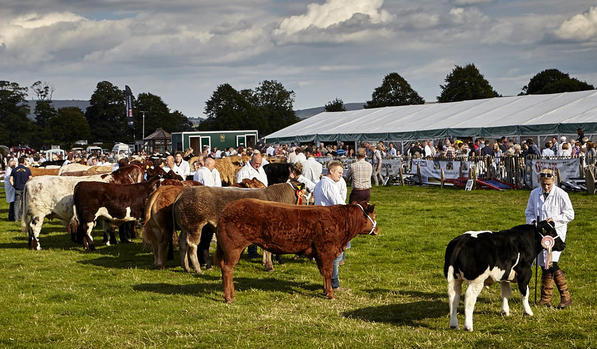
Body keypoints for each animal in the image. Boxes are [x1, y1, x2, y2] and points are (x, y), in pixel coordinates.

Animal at [171, 181, 302, 274]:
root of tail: (182, 194)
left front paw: (265, 263)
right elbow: (267, 250)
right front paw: (270, 266)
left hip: (185, 227)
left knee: (183, 244)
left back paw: (186, 267)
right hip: (195, 226)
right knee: (192, 246)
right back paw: (197, 269)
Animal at [215, 198, 378, 302]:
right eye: (373, 215)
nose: (377, 230)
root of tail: (226, 210)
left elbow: (323, 273)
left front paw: (325, 291)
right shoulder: (326, 251)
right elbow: (327, 272)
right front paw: (330, 294)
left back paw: (231, 294)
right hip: (233, 247)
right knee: (227, 269)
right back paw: (228, 297)